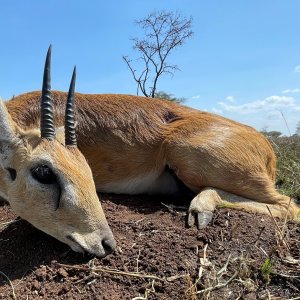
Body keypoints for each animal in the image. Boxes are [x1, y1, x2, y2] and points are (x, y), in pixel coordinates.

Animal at [0, 47, 298, 258]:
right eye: (44, 172)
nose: (105, 243)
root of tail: (264, 144)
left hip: (186, 155)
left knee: (288, 205)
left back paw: (200, 208)